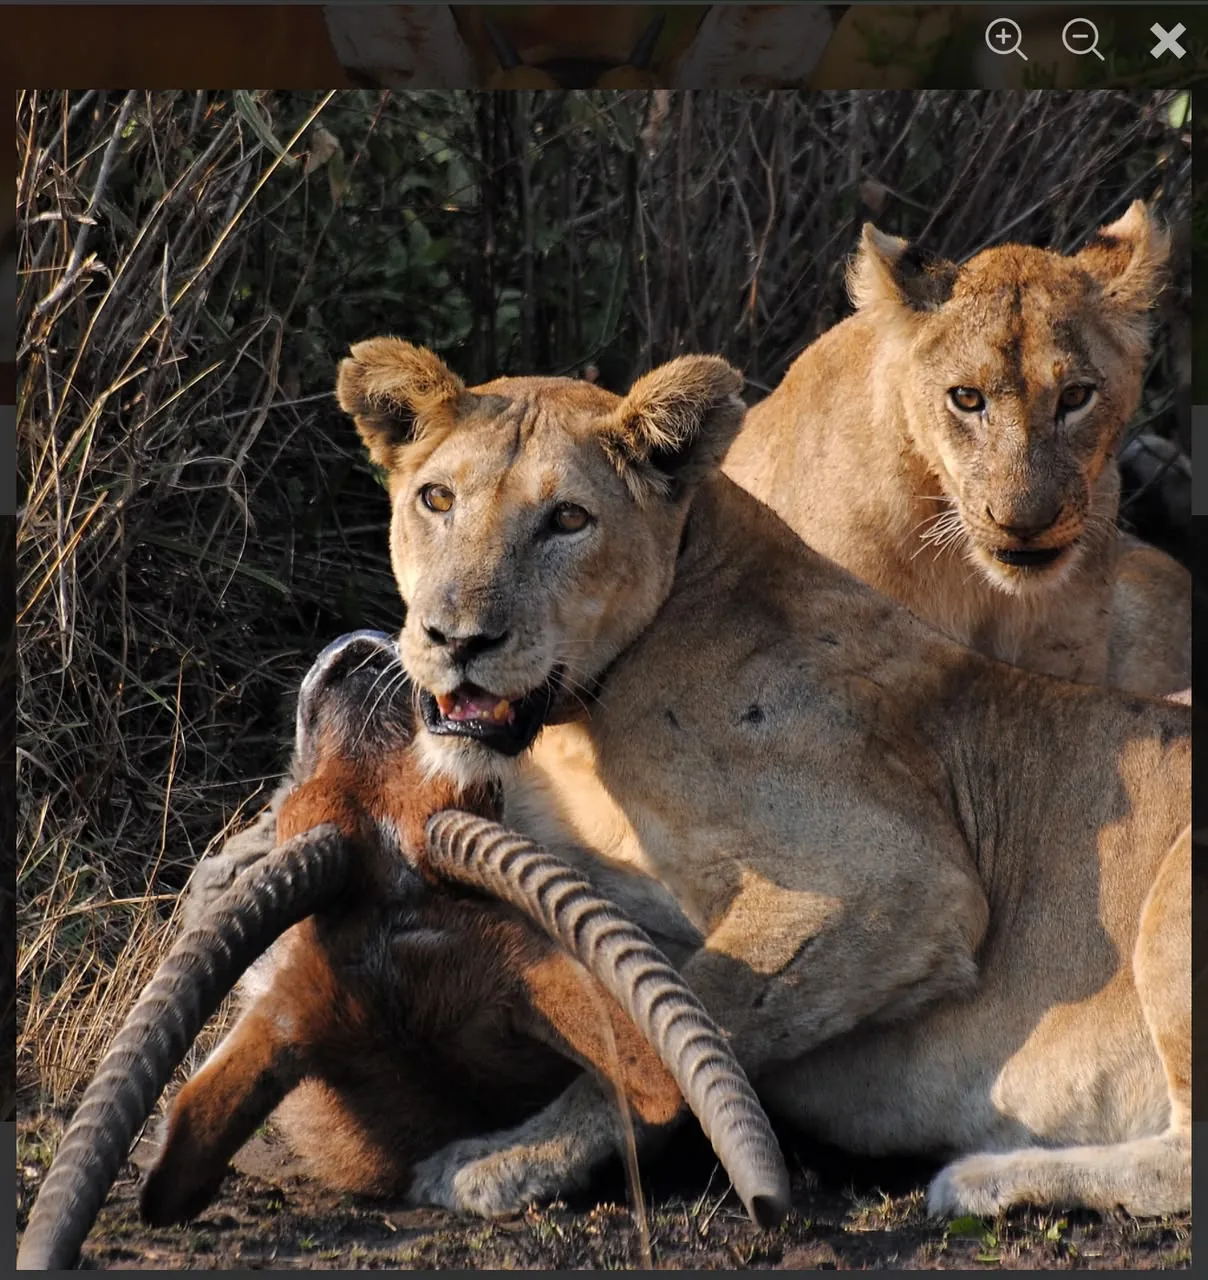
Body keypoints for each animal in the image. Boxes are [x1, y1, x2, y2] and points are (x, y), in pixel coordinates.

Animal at [317, 337, 1189, 1224]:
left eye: (567, 519)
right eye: (437, 499)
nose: (458, 639)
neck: (581, 727)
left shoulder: (904, 880)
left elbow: (675, 1024)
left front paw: (506, 1158)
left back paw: (987, 1177)